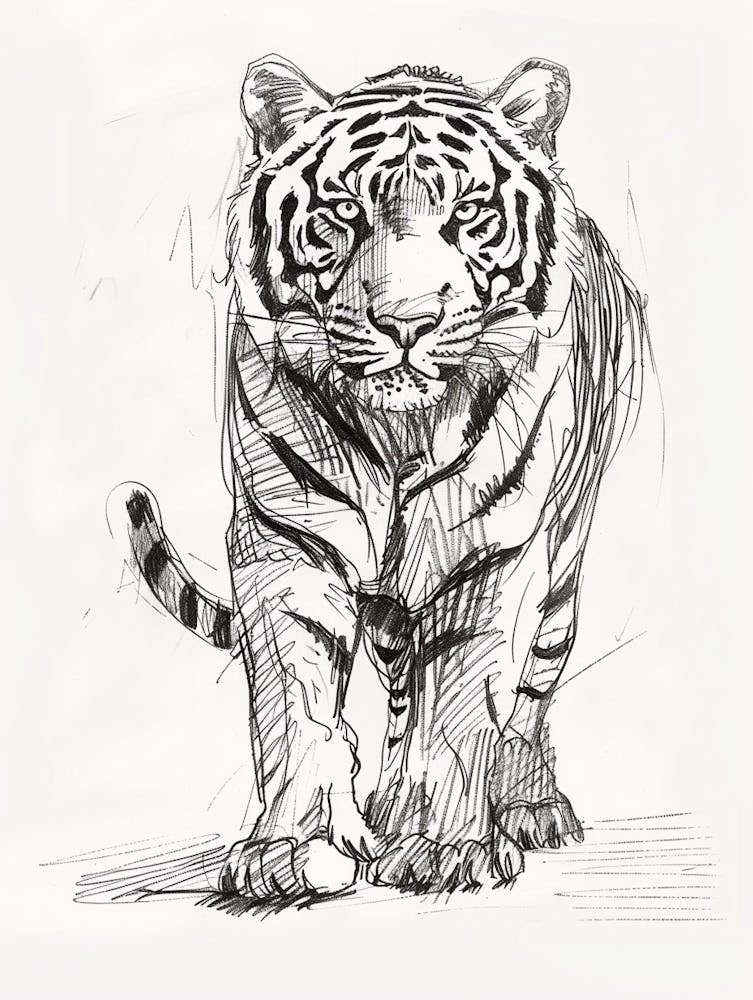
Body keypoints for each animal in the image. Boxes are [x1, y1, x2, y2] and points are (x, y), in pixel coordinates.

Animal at [123, 55, 647, 898]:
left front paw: (450, 851)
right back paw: (392, 810)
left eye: (469, 215)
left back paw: (527, 807)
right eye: (343, 212)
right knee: (402, 698)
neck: (399, 433)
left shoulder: (483, 556)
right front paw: (288, 852)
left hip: (561, 553)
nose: (406, 323)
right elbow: (295, 706)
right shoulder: (284, 539)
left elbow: (464, 704)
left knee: (531, 682)